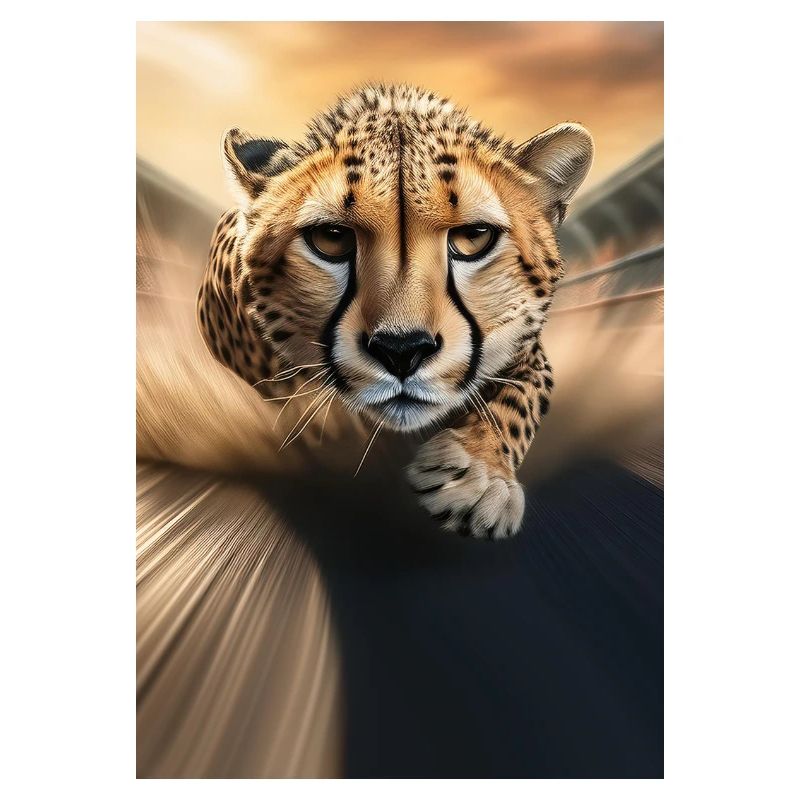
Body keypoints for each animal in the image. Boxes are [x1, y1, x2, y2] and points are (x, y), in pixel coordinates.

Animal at [197, 83, 593, 539]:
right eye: (331, 237)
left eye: (473, 236)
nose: (402, 351)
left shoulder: (525, 348)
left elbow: (521, 398)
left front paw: (479, 474)